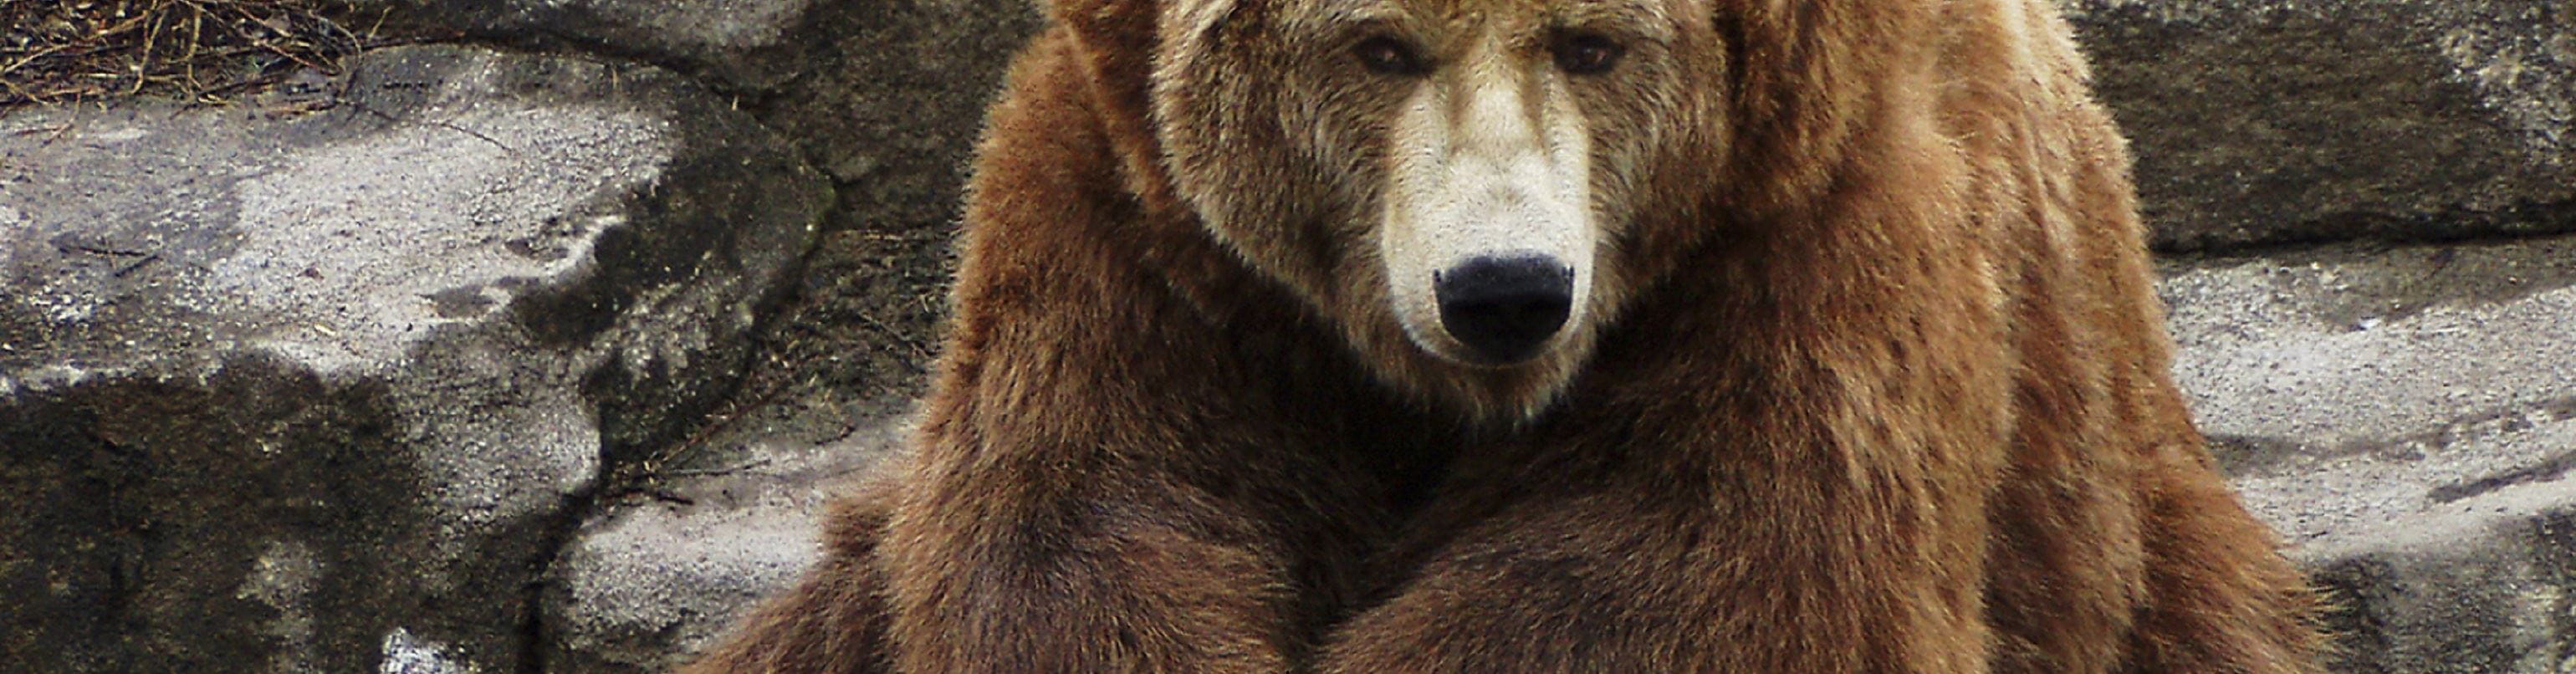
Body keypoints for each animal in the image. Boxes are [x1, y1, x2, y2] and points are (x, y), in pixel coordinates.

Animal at [686, 0, 2327, 669]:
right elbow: (1092, 521)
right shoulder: (1141, 246)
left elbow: (1684, 572)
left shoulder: (1816, 251)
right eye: (1379, 46)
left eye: (1592, 43)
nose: (1504, 287)